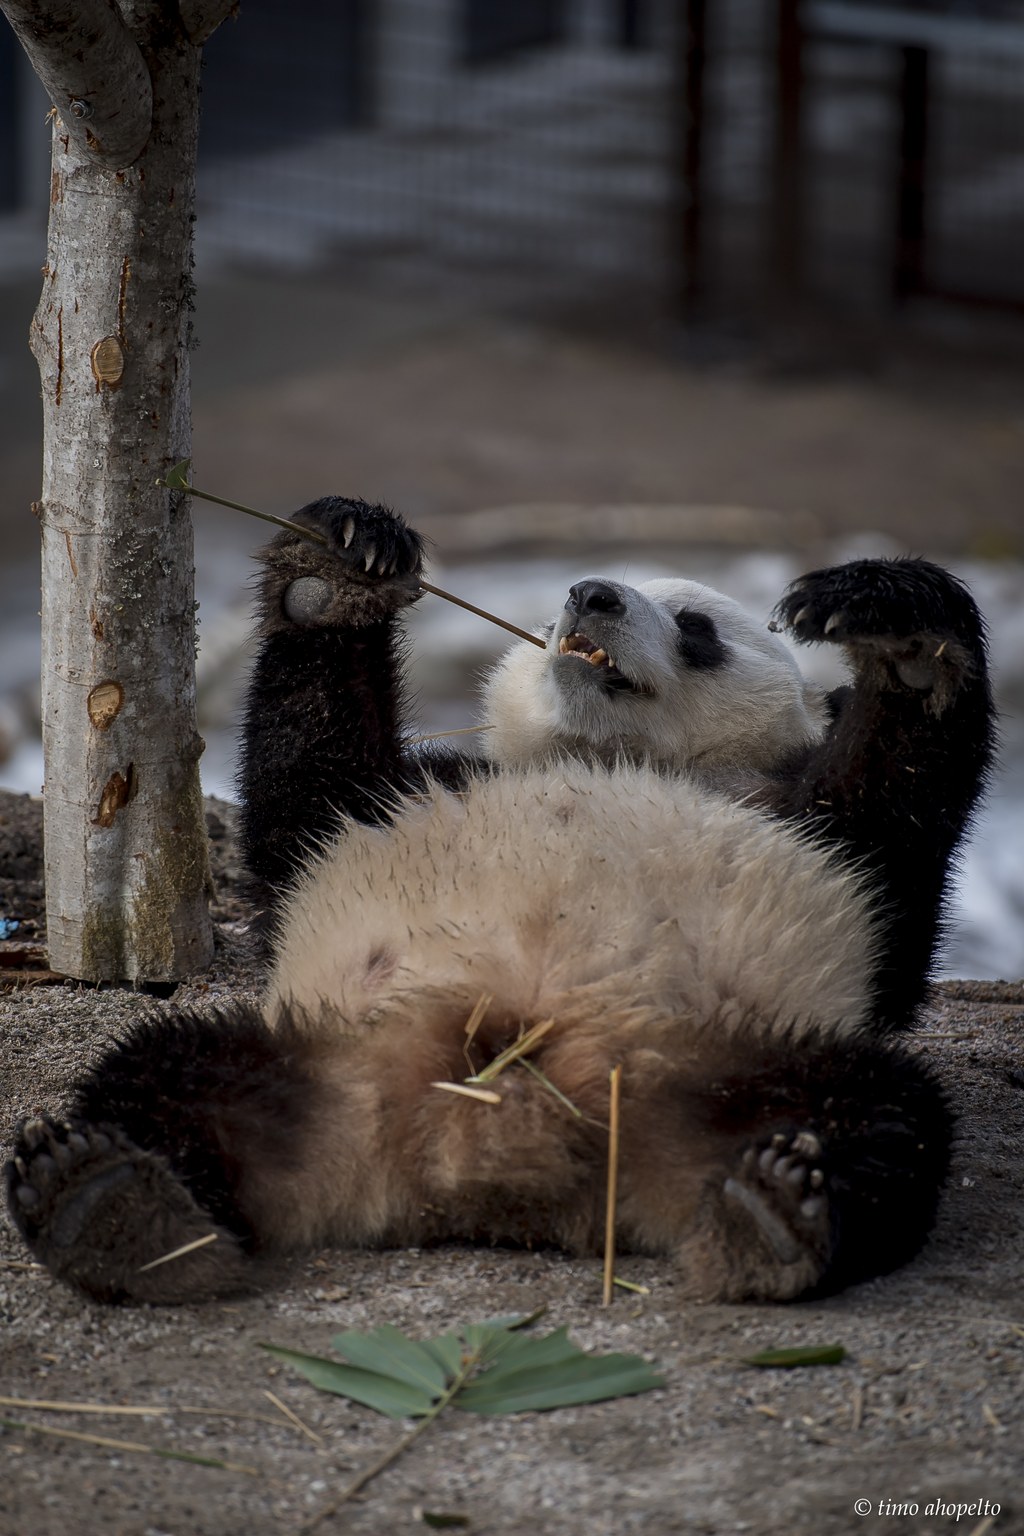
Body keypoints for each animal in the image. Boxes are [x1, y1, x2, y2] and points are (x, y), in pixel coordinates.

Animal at [4, 500, 994, 1308]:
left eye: (697, 626)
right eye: (564, 607)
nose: (592, 594)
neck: (608, 754)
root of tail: (482, 1172)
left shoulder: (822, 839)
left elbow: (900, 820)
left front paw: (896, 632)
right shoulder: (406, 796)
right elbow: (309, 793)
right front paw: (340, 565)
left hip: (738, 1060)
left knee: (885, 1117)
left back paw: (778, 1209)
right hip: (317, 1045)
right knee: (159, 1071)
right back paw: (112, 1205)